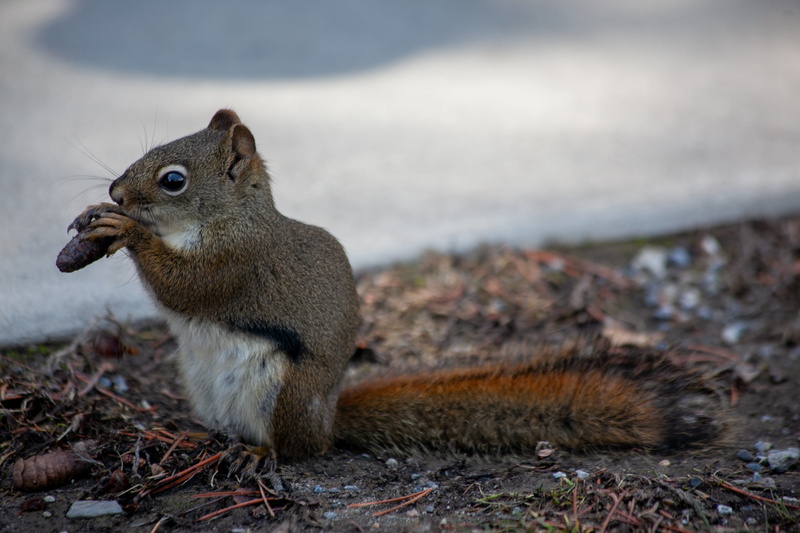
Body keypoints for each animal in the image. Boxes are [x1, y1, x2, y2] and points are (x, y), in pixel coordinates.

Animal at [62, 109, 726, 460]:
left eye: (173, 179)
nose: (117, 190)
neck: (229, 217)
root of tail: (326, 422)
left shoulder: (239, 263)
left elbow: (185, 288)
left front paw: (123, 228)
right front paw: (99, 217)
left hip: (282, 391)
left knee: (293, 450)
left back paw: (257, 453)